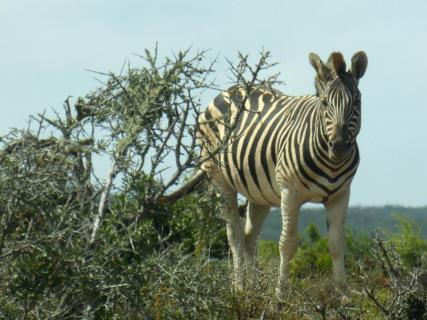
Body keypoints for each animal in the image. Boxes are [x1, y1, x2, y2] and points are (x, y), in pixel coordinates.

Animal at [163, 50, 368, 296]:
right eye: (325, 103)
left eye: (357, 102)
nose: (338, 147)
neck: (331, 163)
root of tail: (229, 90)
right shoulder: (290, 193)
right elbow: (287, 243)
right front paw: (281, 294)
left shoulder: (340, 194)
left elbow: (337, 243)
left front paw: (343, 294)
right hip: (220, 180)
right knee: (235, 237)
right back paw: (239, 289)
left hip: (258, 192)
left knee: (250, 238)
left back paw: (253, 290)